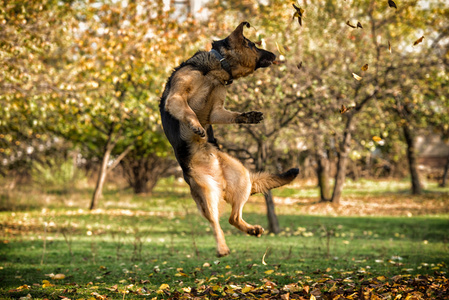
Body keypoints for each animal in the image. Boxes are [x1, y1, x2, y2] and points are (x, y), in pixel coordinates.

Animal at [159, 21, 300, 255]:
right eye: (253, 45)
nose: (274, 54)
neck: (217, 68)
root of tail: (219, 180)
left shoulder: (216, 111)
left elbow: (231, 115)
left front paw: (248, 116)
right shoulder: (176, 98)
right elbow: (188, 112)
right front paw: (196, 126)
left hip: (241, 179)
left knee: (234, 218)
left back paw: (251, 230)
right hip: (206, 194)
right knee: (216, 222)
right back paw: (222, 247)